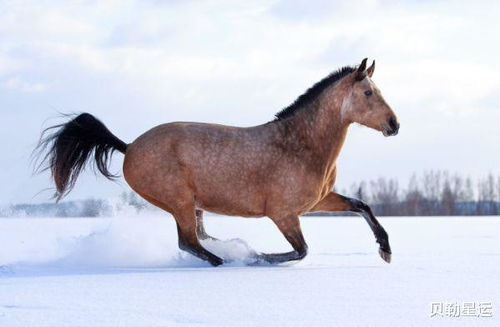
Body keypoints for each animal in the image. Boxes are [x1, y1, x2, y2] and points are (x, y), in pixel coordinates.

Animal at [35, 59, 400, 268]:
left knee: (199, 237)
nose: (394, 125)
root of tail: (129, 146)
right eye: (368, 92)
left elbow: (361, 205)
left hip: (192, 204)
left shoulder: (317, 201)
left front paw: (385, 249)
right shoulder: (283, 213)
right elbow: (301, 250)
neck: (300, 145)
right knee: (189, 242)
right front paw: (257, 257)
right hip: (179, 200)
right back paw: (226, 260)